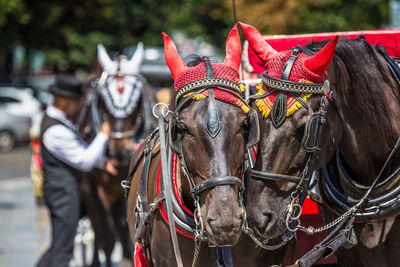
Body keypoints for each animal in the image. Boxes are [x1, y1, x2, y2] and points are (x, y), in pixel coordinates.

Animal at [79, 43, 157, 266]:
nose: (120, 151)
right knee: (99, 229)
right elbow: (105, 234)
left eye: (137, 101)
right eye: (103, 102)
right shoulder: (91, 187)